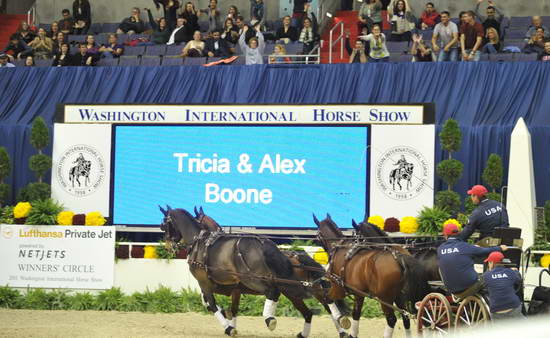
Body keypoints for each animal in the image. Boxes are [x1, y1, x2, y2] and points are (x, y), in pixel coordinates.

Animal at [193, 206, 350, 338]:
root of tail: (297, 257)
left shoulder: (227, 288)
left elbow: (214, 304)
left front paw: (226, 319)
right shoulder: (233, 290)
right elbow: (229, 308)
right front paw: (229, 323)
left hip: (301, 290)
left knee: (326, 305)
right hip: (302, 292)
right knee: (318, 309)